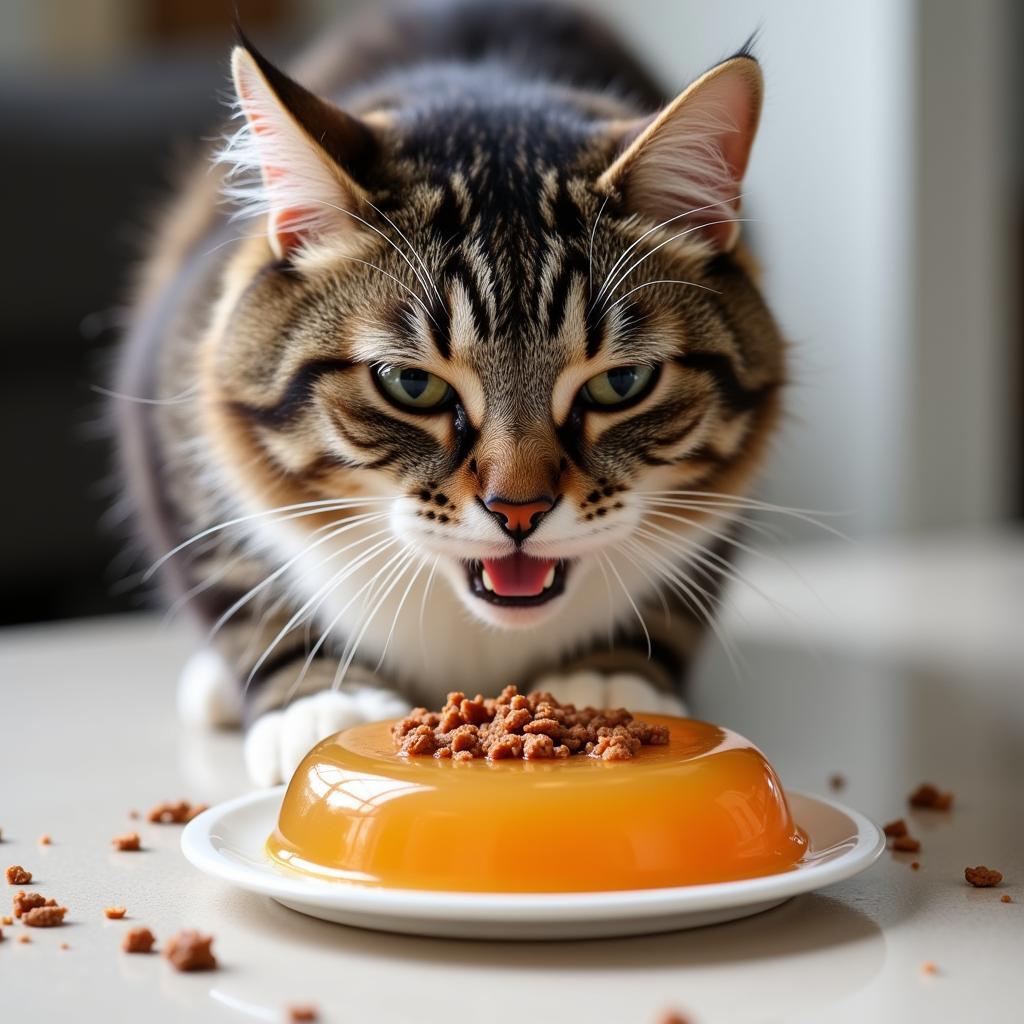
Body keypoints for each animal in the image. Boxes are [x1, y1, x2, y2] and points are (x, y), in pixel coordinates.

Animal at [117, 0, 782, 786]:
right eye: (412, 385)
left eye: (621, 383)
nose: (518, 512)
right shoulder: (172, 425)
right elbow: (242, 588)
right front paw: (322, 700)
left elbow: (677, 598)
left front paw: (612, 678)